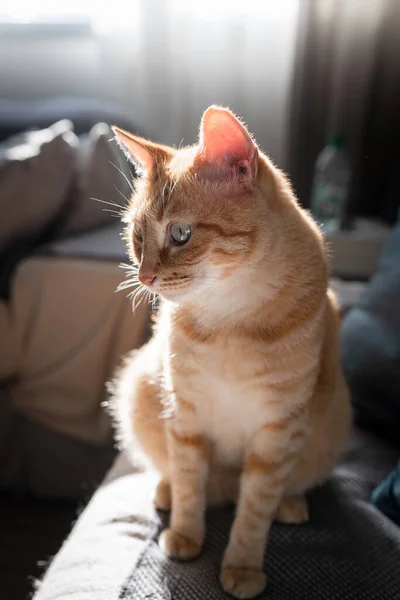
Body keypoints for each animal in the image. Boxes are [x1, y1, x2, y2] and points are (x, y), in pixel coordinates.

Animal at [109, 108, 350, 600]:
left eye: (180, 234)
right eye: (137, 236)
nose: (143, 277)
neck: (230, 319)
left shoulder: (277, 431)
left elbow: (254, 512)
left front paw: (241, 566)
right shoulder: (185, 416)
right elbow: (189, 487)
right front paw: (185, 535)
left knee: (270, 490)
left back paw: (290, 504)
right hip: (139, 387)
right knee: (189, 481)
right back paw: (170, 492)